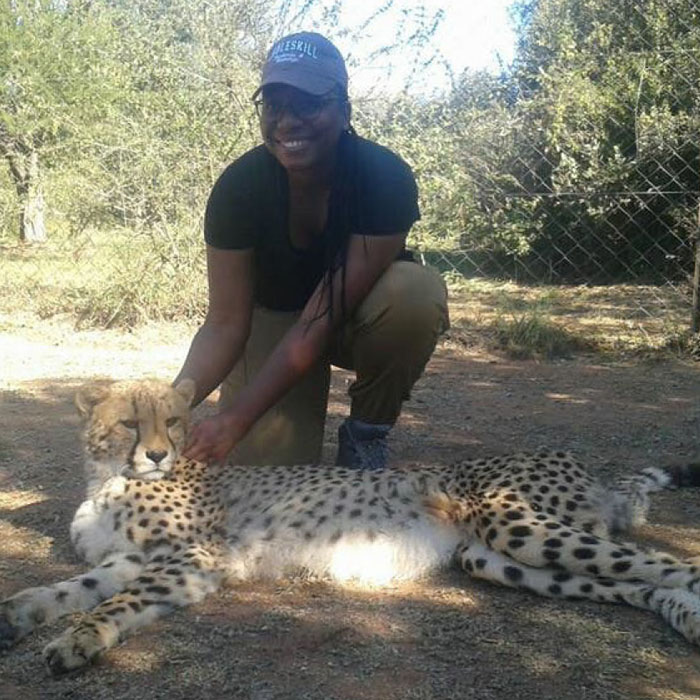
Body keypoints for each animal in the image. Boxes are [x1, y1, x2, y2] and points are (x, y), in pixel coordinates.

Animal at [1, 380, 700, 676]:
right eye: (128, 423)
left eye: (171, 421)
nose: (155, 453)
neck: (110, 478)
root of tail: (578, 464)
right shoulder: (131, 558)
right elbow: (69, 589)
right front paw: (19, 612)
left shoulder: (193, 558)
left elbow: (112, 603)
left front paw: (79, 640)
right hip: (492, 557)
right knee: (644, 582)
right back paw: (684, 619)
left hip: (512, 521)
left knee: (675, 566)